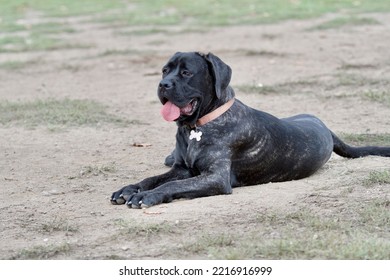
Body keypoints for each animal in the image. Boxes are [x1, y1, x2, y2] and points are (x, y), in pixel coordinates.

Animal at [111, 51, 390, 208]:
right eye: (164, 71)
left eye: (187, 72)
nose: (163, 84)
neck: (197, 127)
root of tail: (324, 126)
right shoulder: (182, 168)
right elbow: (152, 179)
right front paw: (129, 189)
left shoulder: (215, 178)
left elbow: (172, 186)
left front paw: (147, 196)